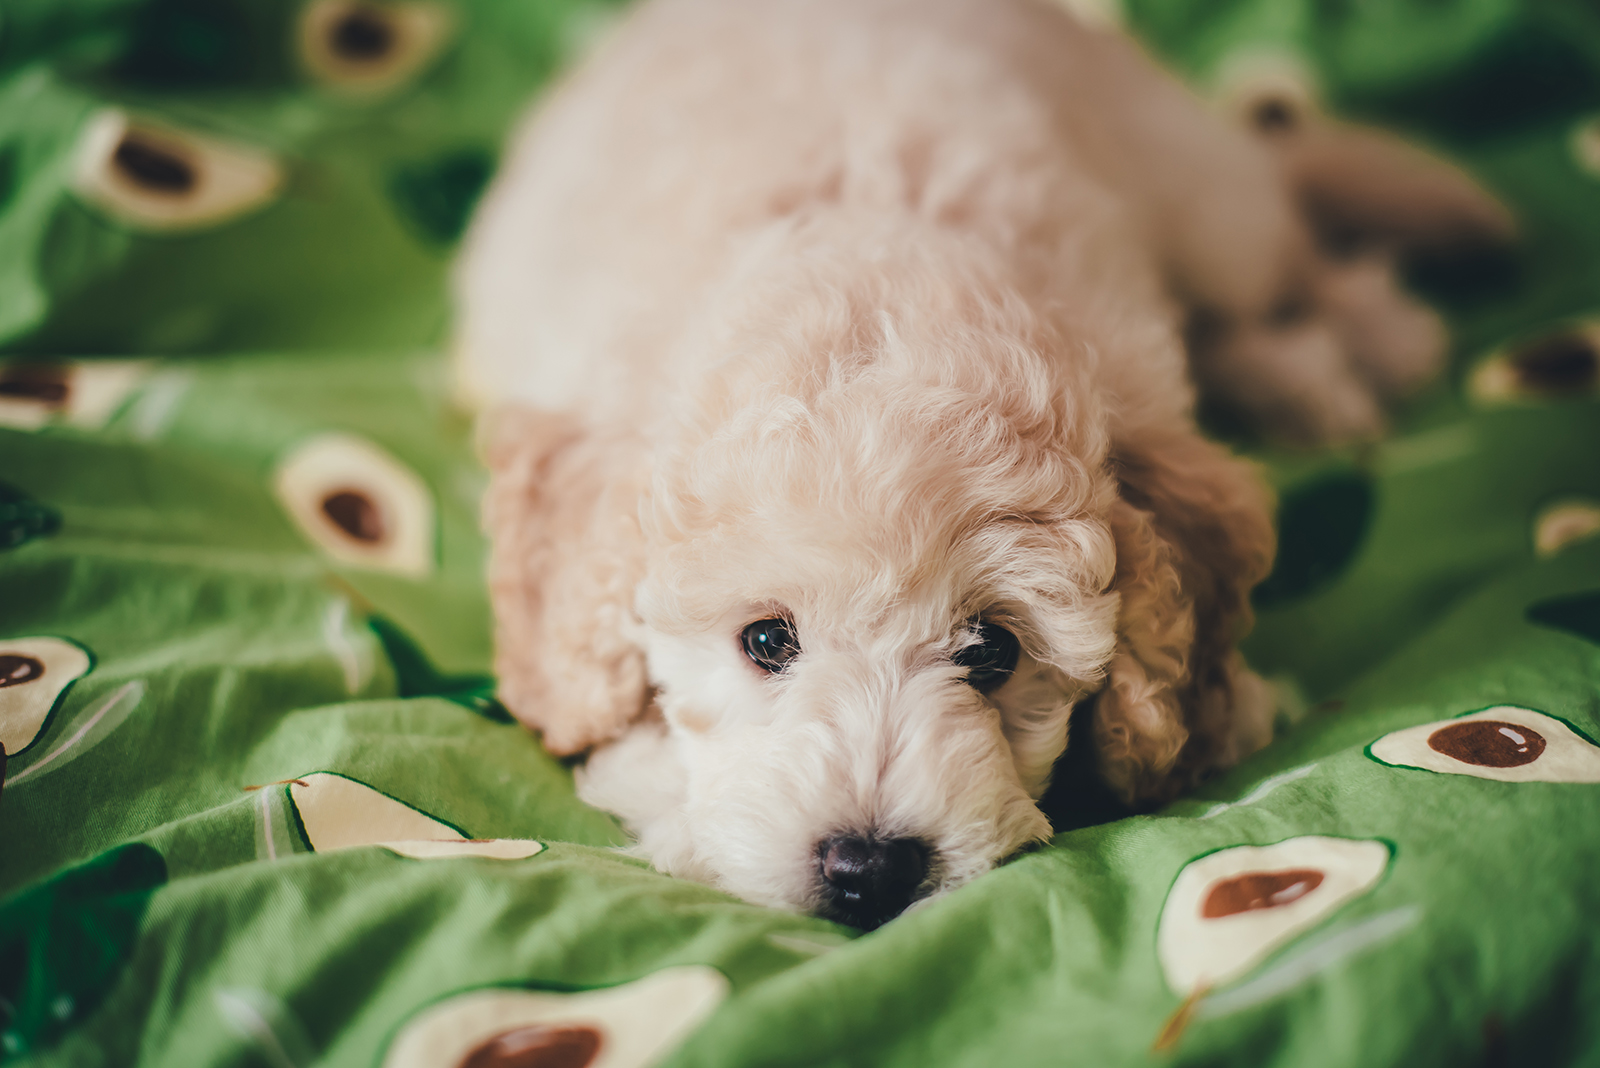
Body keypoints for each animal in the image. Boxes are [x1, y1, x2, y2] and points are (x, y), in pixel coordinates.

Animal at [454, 0, 1510, 927]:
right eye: (765, 640)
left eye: (993, 651)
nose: (867, 869)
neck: (871, 243)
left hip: (1206, 204)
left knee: (1276, 261)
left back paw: (1355, 346)